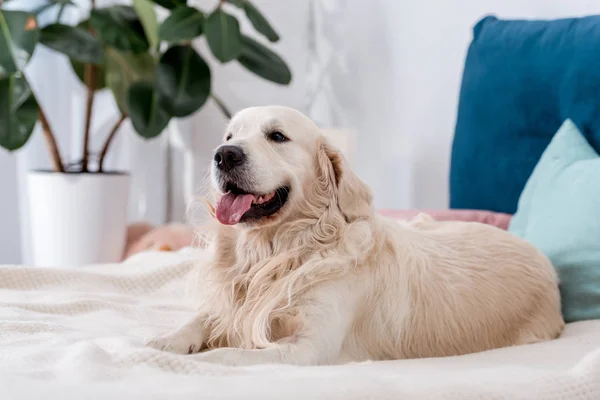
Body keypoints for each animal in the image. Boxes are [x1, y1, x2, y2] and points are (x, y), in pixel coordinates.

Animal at [148, 105, 564, 366]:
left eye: (277, 136)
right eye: (231, 134)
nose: (224, 154)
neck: (284, 250)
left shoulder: (310, 349)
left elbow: (231, 354)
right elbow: (203, 317)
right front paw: (167, 340)